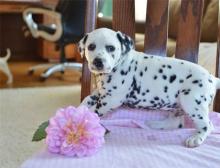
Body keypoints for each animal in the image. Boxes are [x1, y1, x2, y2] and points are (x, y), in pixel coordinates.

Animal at [79, 27, 220, 147]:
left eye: (111, 48)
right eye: (91, 46)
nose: (98, 61)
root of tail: (212, 78)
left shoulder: (111, 99)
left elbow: (94, 111)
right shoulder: (100, 93)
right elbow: (87, 99)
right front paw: (81, 109)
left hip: (192, 101)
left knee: (208, 125)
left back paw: (196, 138)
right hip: (178, 105)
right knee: (177, 123)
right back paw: (155, 124)